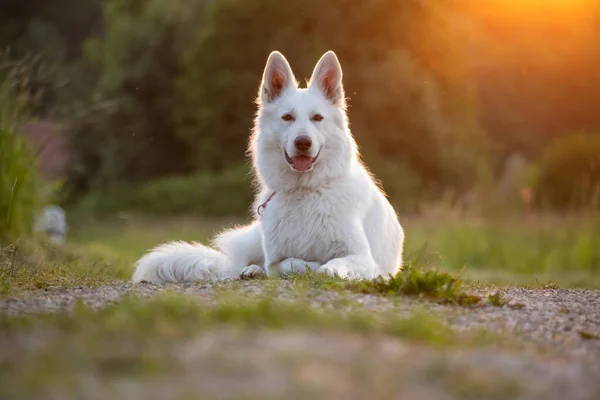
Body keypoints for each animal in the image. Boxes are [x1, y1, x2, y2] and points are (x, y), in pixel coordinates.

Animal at [131, 50, 404, 282]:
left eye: (317, 118)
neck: (304, 192)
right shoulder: (276, 260)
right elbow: (288, 263)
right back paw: (251, 270)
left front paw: (328, 268)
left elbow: (338, 262)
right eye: (287, 117)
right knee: (244, 264)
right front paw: (310, 265)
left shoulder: (363, 258)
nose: (303, 142)